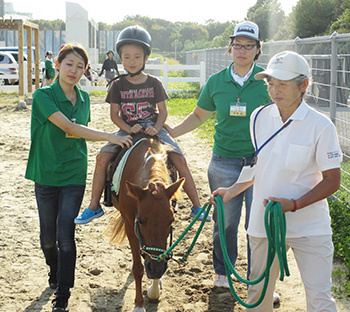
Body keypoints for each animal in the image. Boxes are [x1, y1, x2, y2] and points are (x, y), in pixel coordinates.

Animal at [105, 137, 185, 312]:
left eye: (171, 220)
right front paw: (139, 304)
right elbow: (138, 268)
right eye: (141, 220)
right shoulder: (130, 225)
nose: (155, 269)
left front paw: (154, 289)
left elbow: (157, 259)